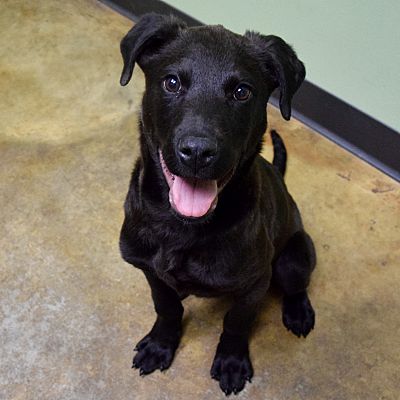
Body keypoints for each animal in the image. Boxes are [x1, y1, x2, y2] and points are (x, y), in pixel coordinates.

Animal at [119, 13, 316, 396]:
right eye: (171, 83)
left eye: (242, 92)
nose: (197, 152)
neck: (182, 227)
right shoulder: (148, 269)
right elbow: (166, 306)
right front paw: (161, 344)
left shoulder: (255, 283)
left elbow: (236, 323)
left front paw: (231, 362)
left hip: (293, 258)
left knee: (297, 284)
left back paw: (299, 311)